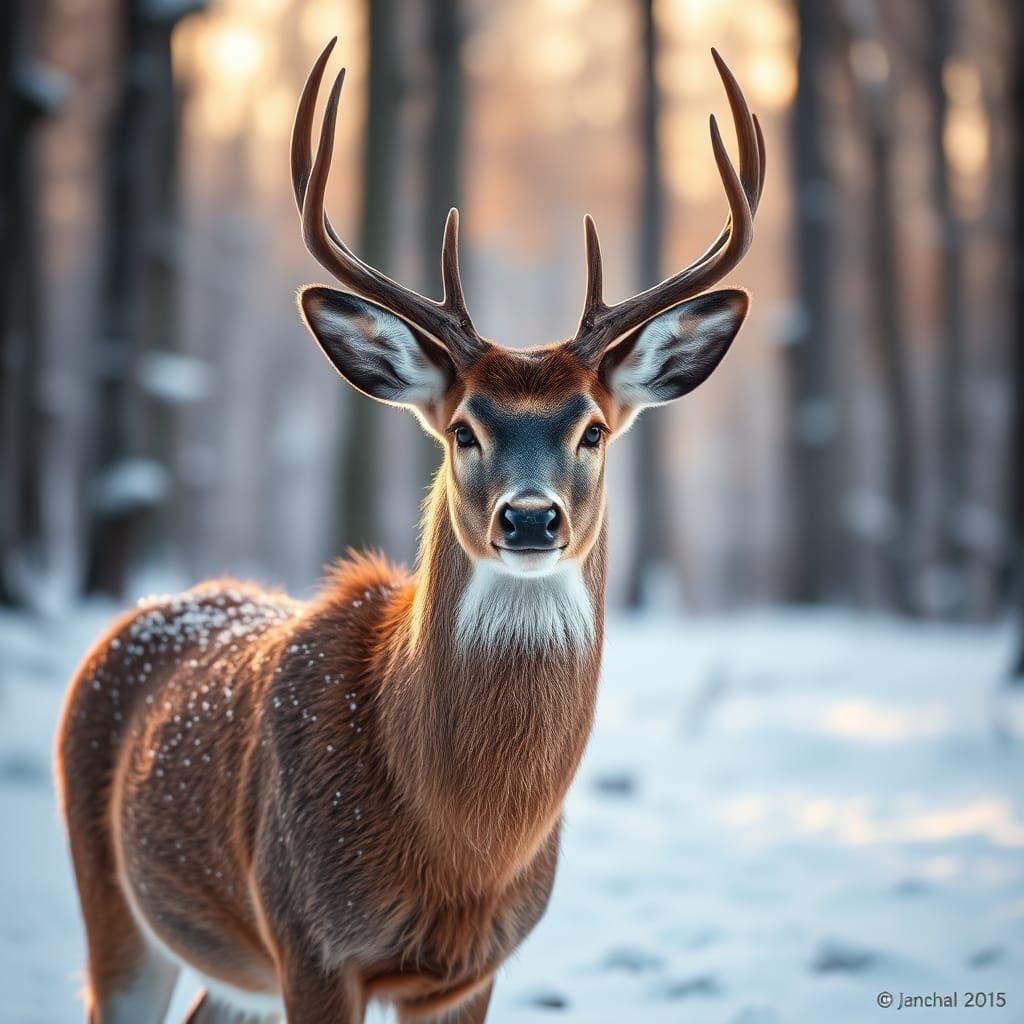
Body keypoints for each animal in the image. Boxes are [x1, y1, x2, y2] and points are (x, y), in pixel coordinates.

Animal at [56, 39, 763, 1024]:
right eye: (465, 428)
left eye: (592, 429)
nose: (531, 515)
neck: (459, 847)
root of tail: (144, 612)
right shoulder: (311, 937)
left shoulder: (472, 969)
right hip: (116, 903)